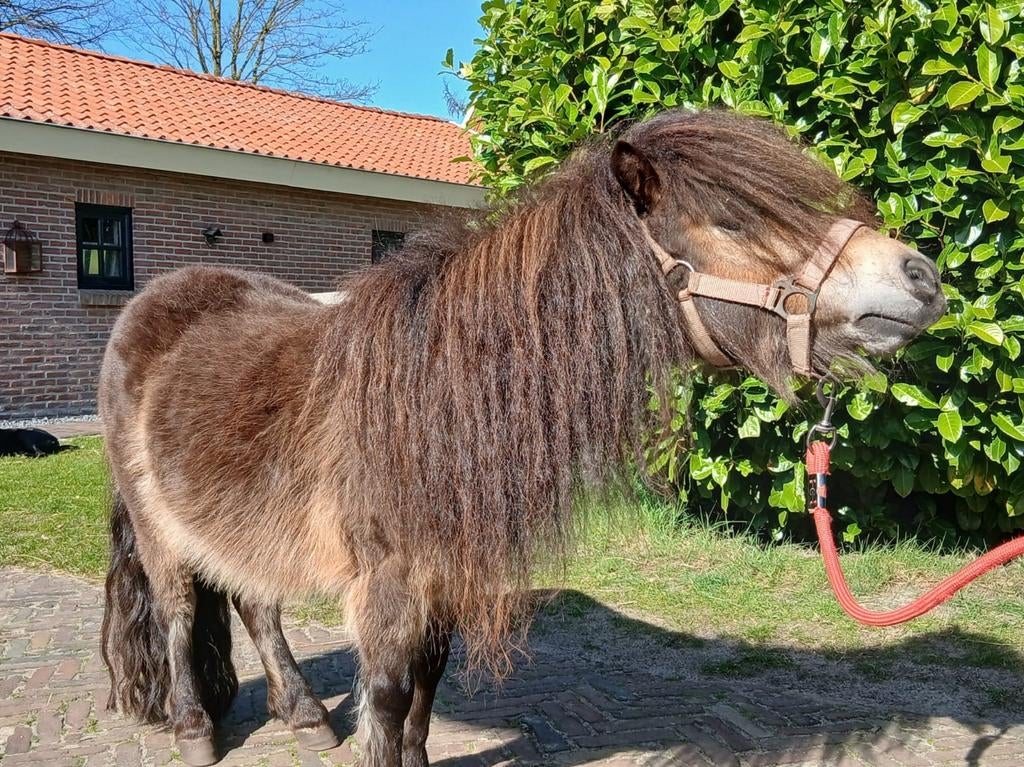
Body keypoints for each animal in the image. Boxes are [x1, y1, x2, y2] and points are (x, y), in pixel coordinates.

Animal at [99, 109, 945, 767]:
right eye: (733, 221)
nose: (921, 276)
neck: (437, 390)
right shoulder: (389, 584)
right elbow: (388, 697)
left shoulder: (443, 577)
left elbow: (425, 689)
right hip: (158, 524)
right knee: (179, 613)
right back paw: (194, 728)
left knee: (255, 603)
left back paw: (305, 714)